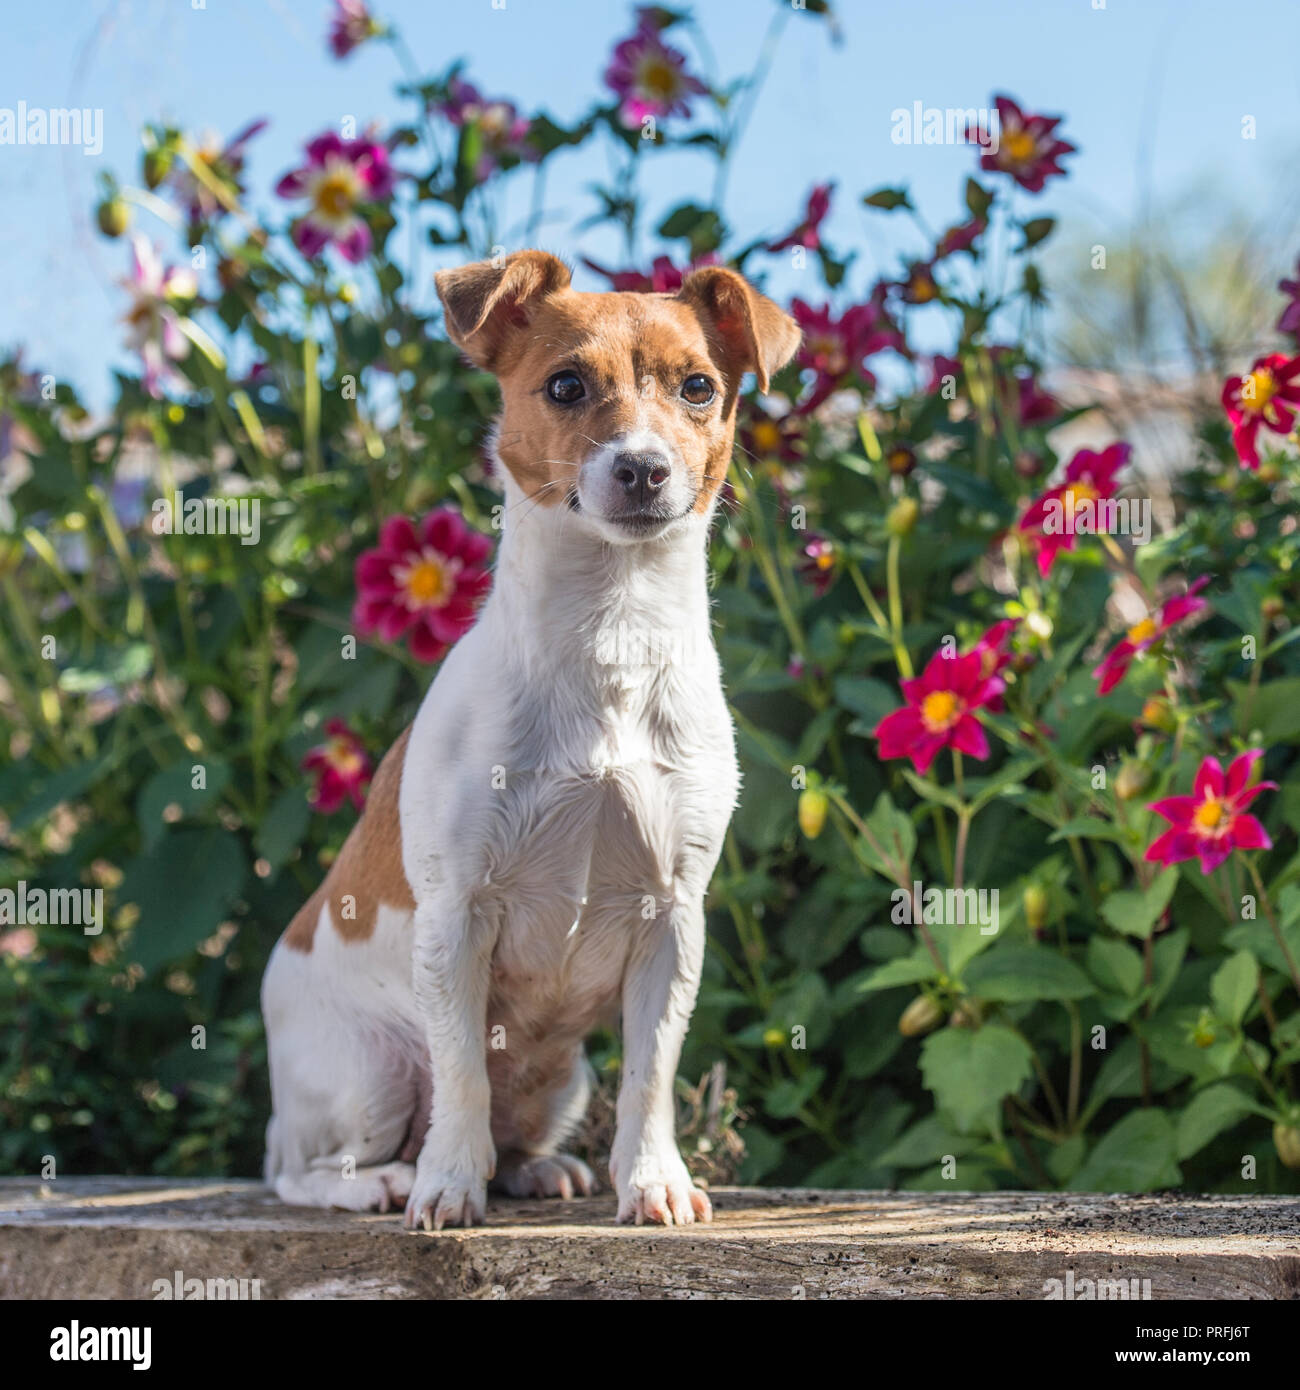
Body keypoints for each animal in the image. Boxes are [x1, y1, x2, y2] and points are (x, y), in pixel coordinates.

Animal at [258, 250, 800, 1228]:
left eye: (699, 387)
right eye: (566, 385)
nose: (643, 468)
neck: (611, 633)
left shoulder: (673, 921)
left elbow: (651, 1076)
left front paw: (652, 1179)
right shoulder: (456, 919)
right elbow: (463, 1074)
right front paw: (446, 1187)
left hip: (562, 1081)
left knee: (516, 1130)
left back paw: (534, 1170)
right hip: (367, 1078)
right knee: (303, 1166)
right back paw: (380, 1181)